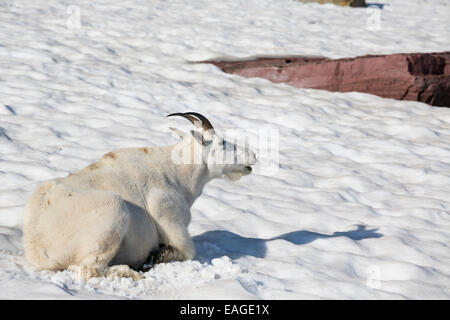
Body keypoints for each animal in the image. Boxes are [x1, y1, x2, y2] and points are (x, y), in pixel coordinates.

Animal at [22, 112, 256, 280]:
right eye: (222, 142)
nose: (252, 156)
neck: (177, 174)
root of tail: (38, 248)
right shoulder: (169, 218)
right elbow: (188, 251)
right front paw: (159, 255)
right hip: (114, 208)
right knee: (89, 269)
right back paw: (133, 271)